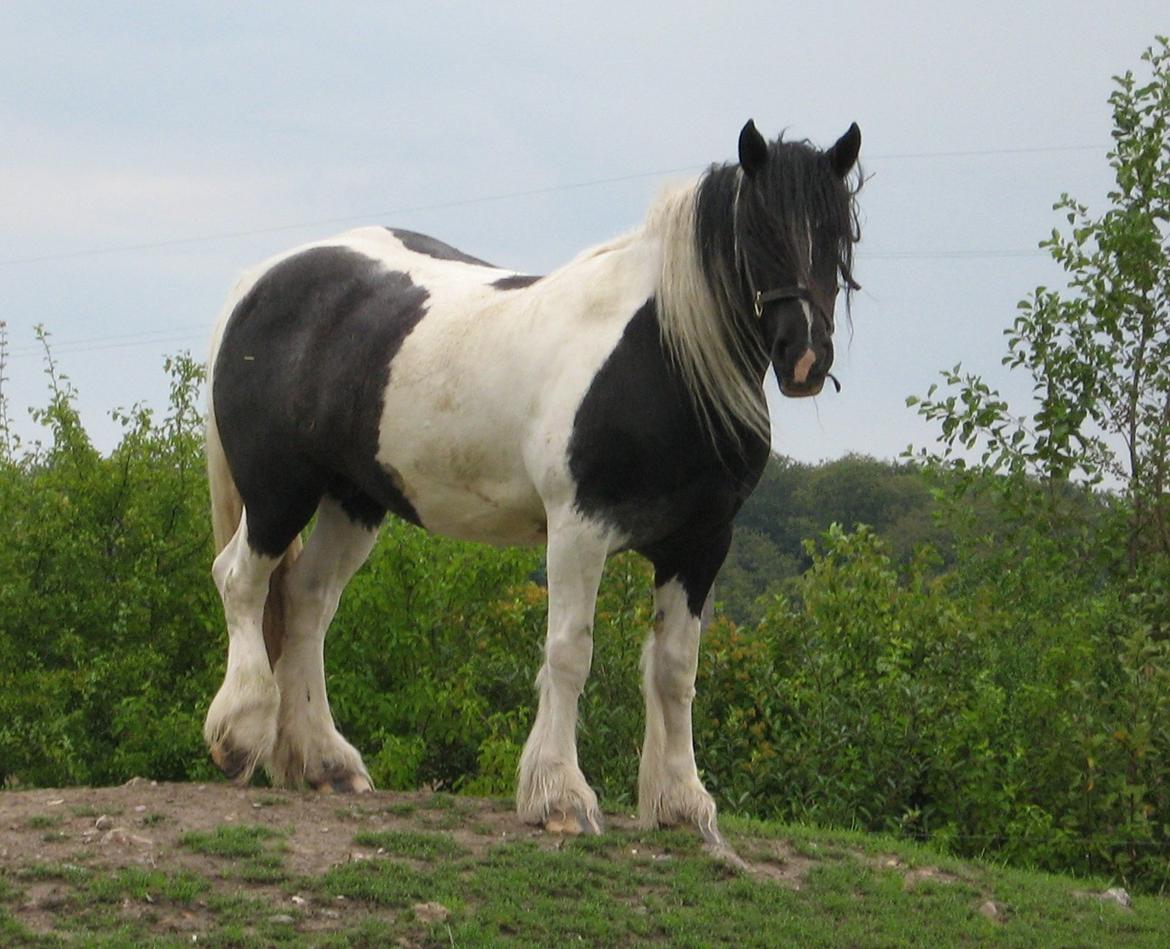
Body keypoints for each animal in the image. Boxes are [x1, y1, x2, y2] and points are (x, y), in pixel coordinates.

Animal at [203, 117, 861, 847]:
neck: (662, 360)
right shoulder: (579, 530)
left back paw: (323, 761)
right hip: (277, 491)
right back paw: (240, 734)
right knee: (242, 581)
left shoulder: (700, 545)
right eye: (757, 233)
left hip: (354, 502)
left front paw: (681, 801)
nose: (805, 359)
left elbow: (674, 669)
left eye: (841, 235)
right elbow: (570, 652)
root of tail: (259, 281)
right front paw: (559, 795)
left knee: (308, 601)